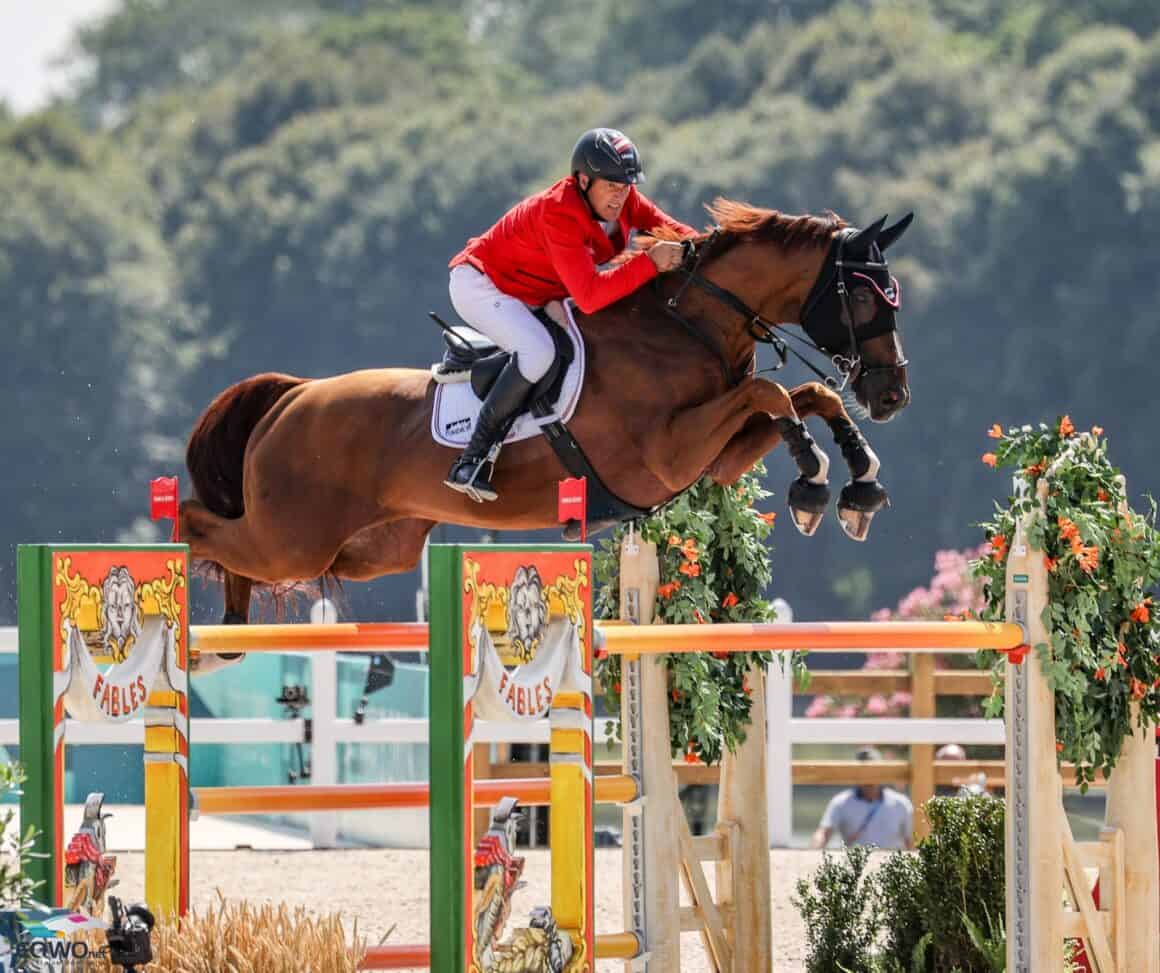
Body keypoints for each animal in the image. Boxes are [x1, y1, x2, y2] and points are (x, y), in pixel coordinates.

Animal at [178, 201, 914, 635]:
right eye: (864, 296)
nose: (893, 397)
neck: (685, 325)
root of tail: (292, 397)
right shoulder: (665, 454)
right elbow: (772, 394)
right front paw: (815, 481)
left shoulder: (714, 457)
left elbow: (805, 397)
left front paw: (856, 486)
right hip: (293, 538)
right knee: (199, 524)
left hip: (372, 548)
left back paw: (232, 623)